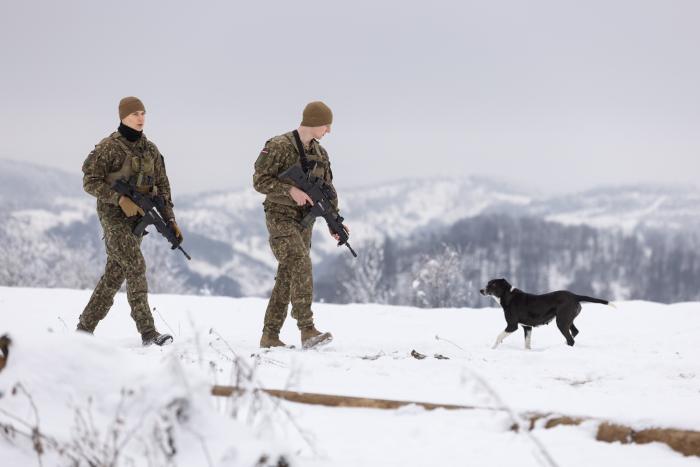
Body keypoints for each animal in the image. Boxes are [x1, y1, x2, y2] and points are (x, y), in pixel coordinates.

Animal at [482, 280, 612, 350]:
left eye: (493, 285)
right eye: (487, 283)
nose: (481, 290)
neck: (509, 297)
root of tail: (575, 296)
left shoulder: (512, 325)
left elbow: (498, 337)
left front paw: (492, 349)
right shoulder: (527, 327)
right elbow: (527, 344)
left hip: (561, 322)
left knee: (571, 339)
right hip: (568, 320)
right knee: (575, 332)